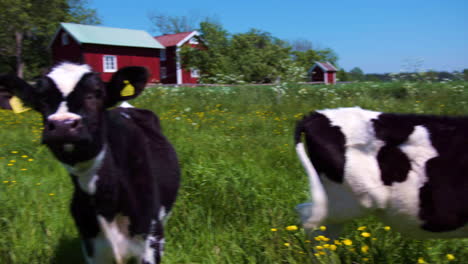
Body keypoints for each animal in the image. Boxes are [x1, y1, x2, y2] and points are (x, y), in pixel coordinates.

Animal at [0, 63, 180, 262]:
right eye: (41, 97)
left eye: (96, 93)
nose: (63, 125)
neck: (106, 200)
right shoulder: (91, 246)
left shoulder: (151, 241)